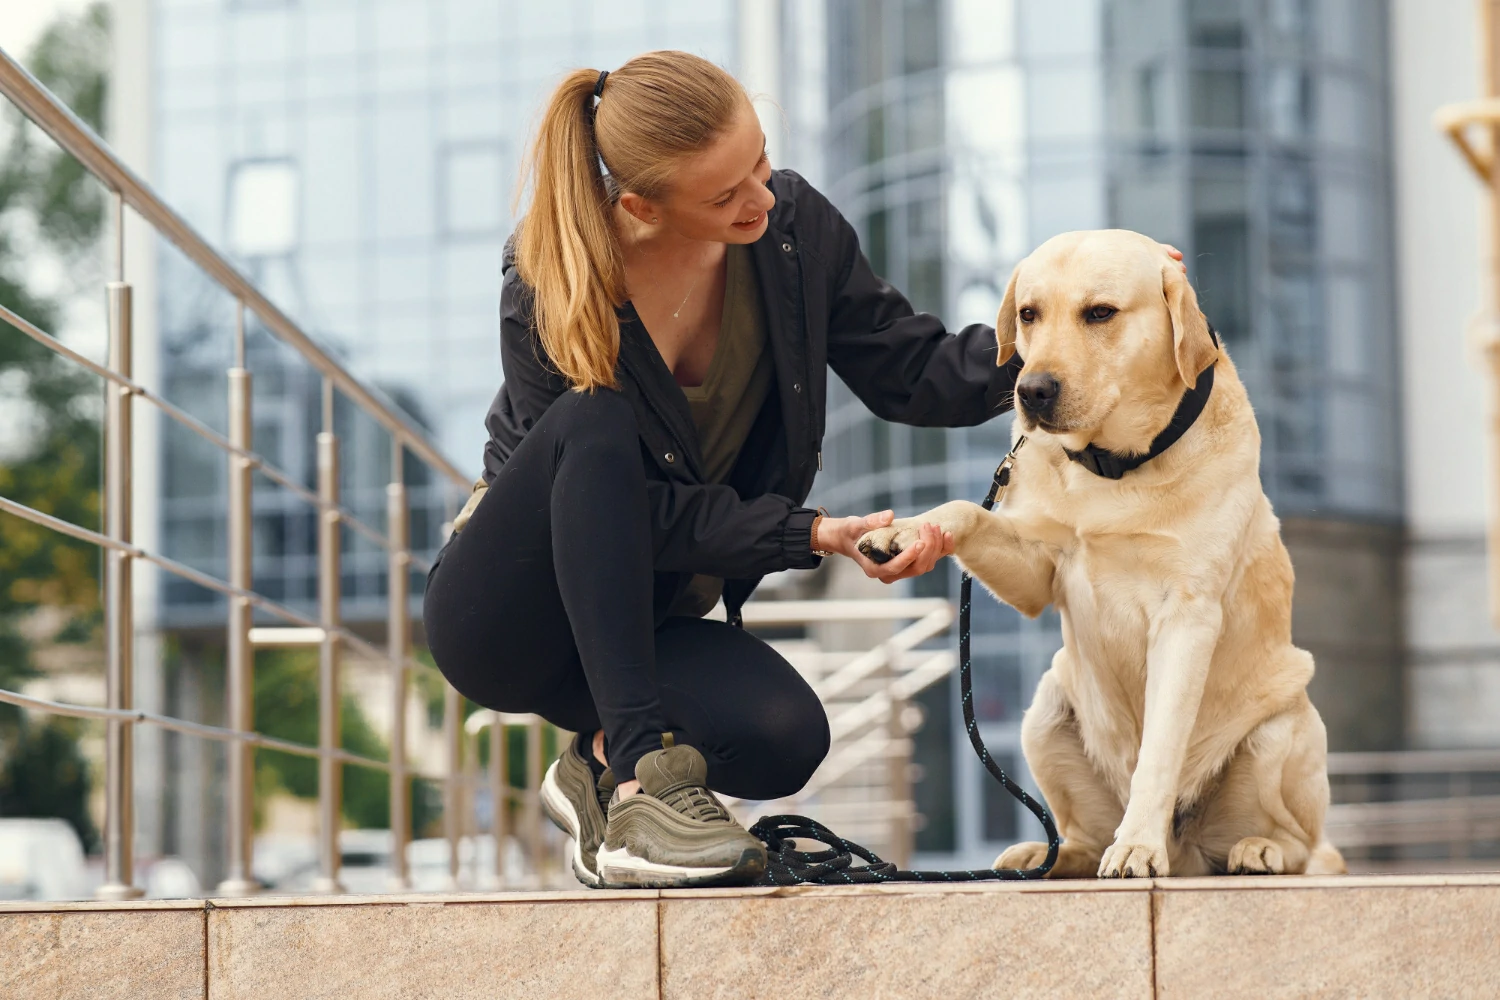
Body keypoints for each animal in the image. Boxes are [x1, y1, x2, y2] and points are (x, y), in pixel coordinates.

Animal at [858, 232, 1350, 875]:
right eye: (1028, 314)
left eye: (1100, 313)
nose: (1032, 390)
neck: (1116, 465)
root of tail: (1187, 853)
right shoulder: (1040, 570)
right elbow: (966, 511)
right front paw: (908, 533)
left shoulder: (1188, 615)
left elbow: (1159, 750)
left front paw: (1137, 844)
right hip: (1044, 710)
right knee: (1080, 838)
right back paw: (1043, 854)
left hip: (1283, 728)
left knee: (1304, 842)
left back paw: (1256, 849)